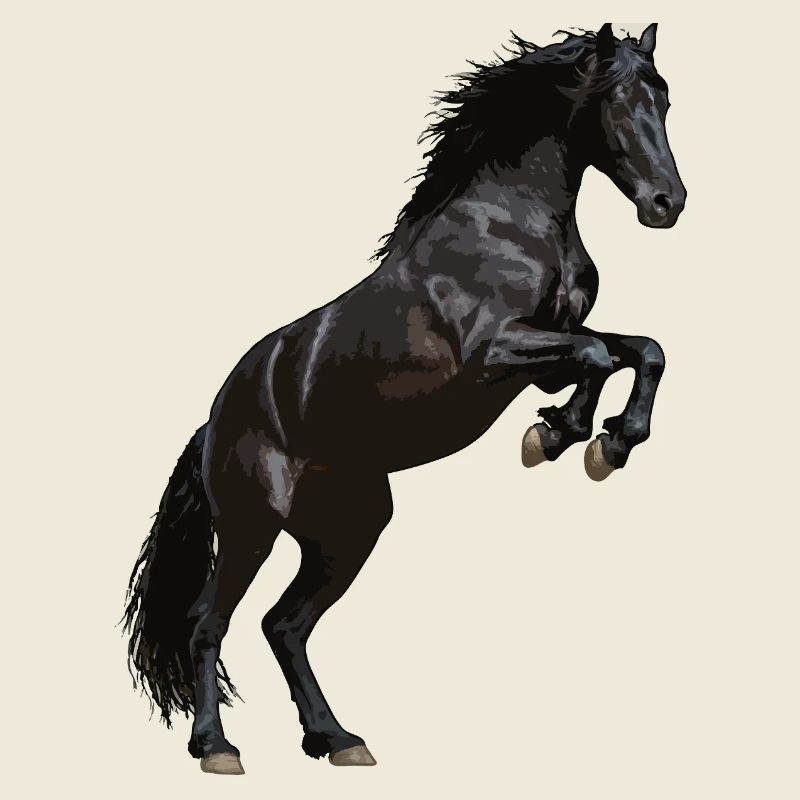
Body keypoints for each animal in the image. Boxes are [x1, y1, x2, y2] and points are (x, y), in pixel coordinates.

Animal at [123, 22, 685, 774]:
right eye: (618, 100)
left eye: (667, 99)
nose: (667, 204)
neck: (508, 222)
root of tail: (213, 423)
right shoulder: (494, 356)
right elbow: (600, 357)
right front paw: (559, 436)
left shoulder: (549, 351)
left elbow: (643, 349)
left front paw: (608, 441)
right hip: (250, 528)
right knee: (210, 622)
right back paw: (217, 748)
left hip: (349, 529)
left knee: (284, 625)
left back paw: (337, 740)